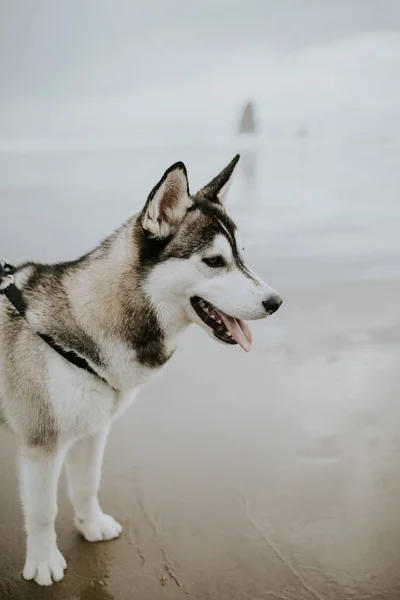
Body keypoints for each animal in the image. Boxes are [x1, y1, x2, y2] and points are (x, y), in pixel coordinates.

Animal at [0, 152, 282, 584]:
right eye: (214, 261)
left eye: (241, 257)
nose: (276, 302)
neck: (81, 323)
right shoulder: (41, 442)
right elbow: (43, 510)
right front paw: (44, 561)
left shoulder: (93, 430)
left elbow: (87, 485)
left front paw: (91, 526)